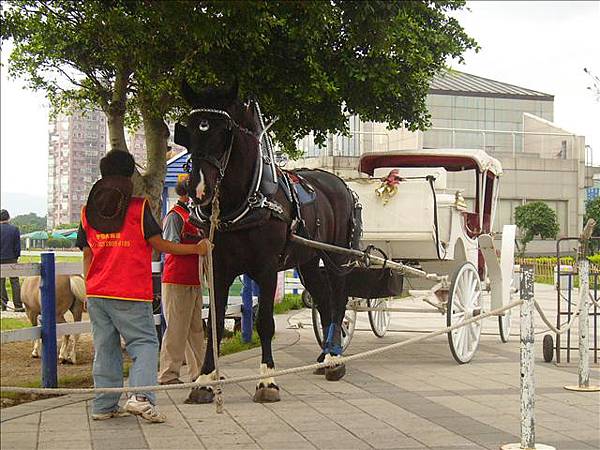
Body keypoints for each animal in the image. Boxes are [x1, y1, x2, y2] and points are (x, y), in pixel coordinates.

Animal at [176, 81, 358, 404]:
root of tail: (341, 184)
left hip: (337, 257)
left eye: (224, 131)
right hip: (308, 261)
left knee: (338, 302)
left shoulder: (266, 268)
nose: (197, 189)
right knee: (323, 301)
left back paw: (335, 359)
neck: (244, 200)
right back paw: (324, 357)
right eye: (191, 130)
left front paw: (267, 380)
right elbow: (214, 323)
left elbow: (265, 322)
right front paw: (205, 380)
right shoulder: (218, 268)